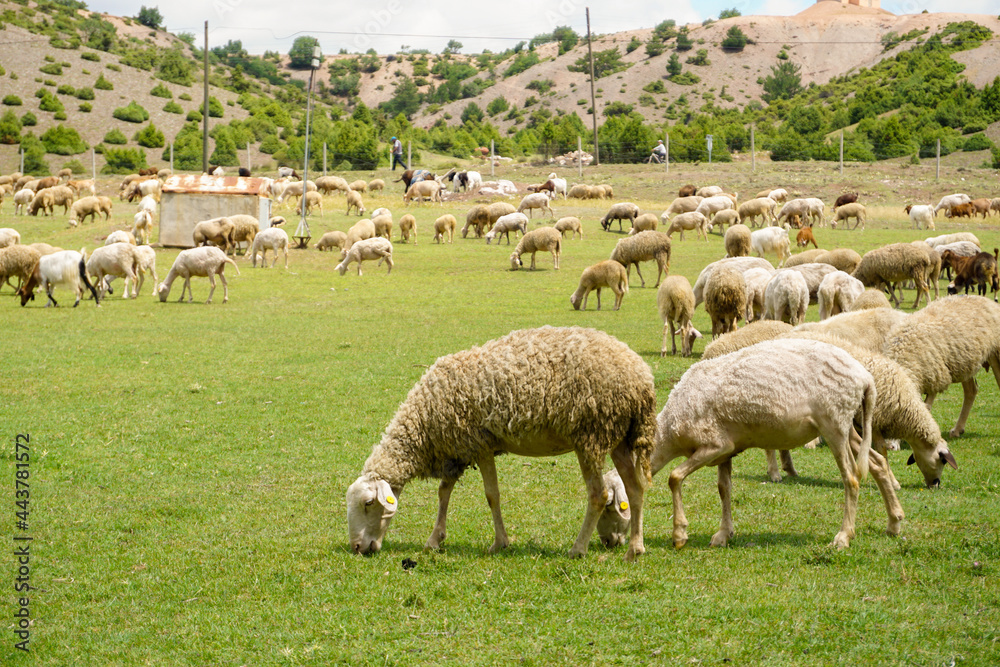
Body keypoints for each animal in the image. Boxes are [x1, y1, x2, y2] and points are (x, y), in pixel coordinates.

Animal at [348, 326, 660, 560]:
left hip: (592, 435)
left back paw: (578, 548)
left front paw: (499, 543)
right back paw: (635, 549)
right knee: (635, 489)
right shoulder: (457, 450)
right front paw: (435, 539)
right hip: (619, 436)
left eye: (367, 503)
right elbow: (444, 493)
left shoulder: (479, 445)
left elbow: (491, 495)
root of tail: (643, 379)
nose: (357, 547)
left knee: (599, 494)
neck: (424, 424)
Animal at [652, 336, 872, 552]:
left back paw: (843, 537)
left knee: (851, 479)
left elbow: (675, 477)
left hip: (834, 423)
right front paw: (723, 534)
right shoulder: (726, 450)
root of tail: (864, 377)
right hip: (844, 426)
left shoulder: (715, 444)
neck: (669, 429)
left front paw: (679, 535)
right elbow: (724, 488)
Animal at [884, 296, 1000, 440]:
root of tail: (987, 300)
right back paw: (958, 429)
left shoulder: (934, 377)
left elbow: (926, 408)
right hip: (964, 361)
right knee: (971, 390)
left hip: (995, 353)